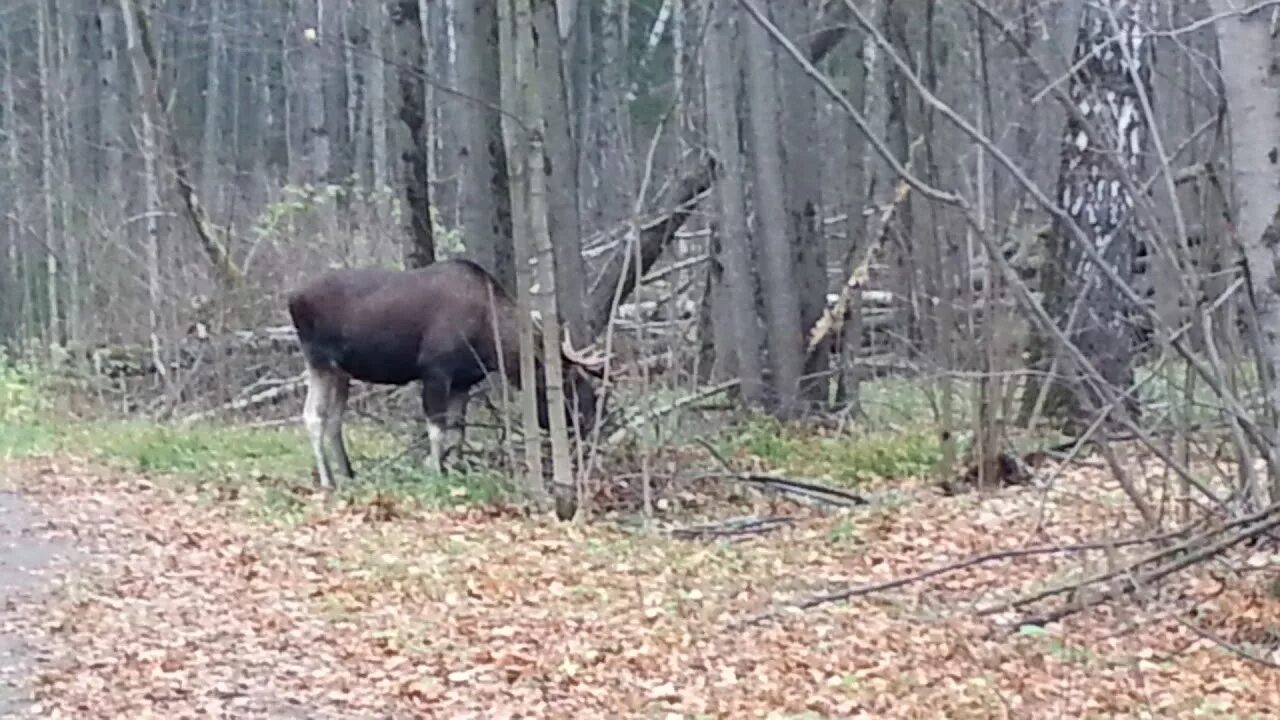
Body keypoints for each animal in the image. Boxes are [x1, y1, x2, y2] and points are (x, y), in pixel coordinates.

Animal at [288, 257, 606, 486]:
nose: (588, 420)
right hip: (319, 361)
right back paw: (328, 481)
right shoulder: (435, 372)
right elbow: (437, 430)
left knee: (334, 421)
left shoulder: (463, 382)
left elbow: (457, 433)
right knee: (312, 416)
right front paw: (435, 474)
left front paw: (456, 471)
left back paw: (348, 474)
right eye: (570, 381)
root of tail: (292, 297)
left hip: (341, 373)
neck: (490, 341)